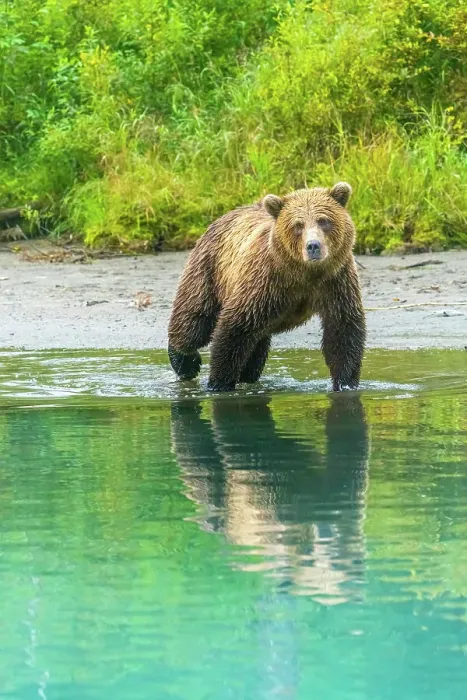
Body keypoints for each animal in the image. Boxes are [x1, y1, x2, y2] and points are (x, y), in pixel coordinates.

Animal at [168, 182, 366, 392]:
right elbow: (234, 328)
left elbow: (343, 331)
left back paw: (247, 374)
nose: (313, 246)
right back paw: (185, 362)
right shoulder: (265, 281)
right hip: (209, 270)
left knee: (256, 344)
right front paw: (218, 383)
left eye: (323, 221)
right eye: (298, 225)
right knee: (195, 318)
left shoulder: (336, 282)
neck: (305, 274)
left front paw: (346, 384)